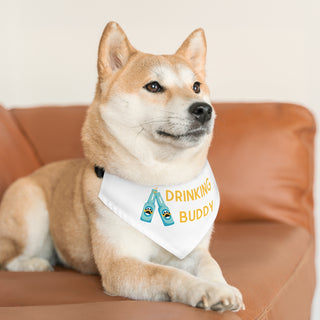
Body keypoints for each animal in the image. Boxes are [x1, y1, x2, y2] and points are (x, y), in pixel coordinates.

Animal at [0, 21, 244, 312]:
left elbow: (210, 265)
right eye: (154, 86)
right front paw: (204, 289)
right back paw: (35, 263)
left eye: (196, 86)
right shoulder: (119, 264)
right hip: (32, 213)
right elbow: (168, 273)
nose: (204, 109)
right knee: (10, 258)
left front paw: (222, 287)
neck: (160, 179)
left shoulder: (193, 250)